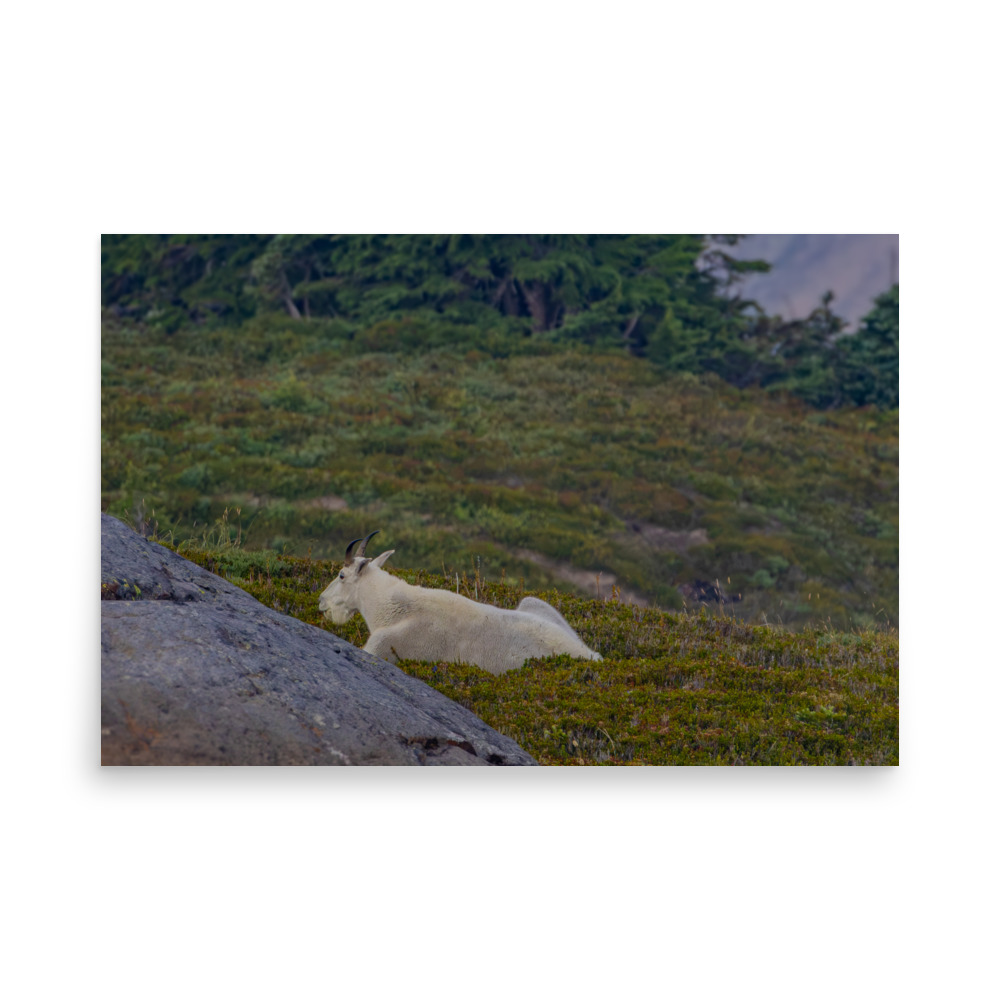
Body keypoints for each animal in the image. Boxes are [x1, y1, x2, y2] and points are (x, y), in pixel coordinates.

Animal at [318, 530, 602, 674]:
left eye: (341, 575)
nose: (321, 601)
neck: (395, 608)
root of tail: (593, 656)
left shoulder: (380, 647)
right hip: (533, 603)